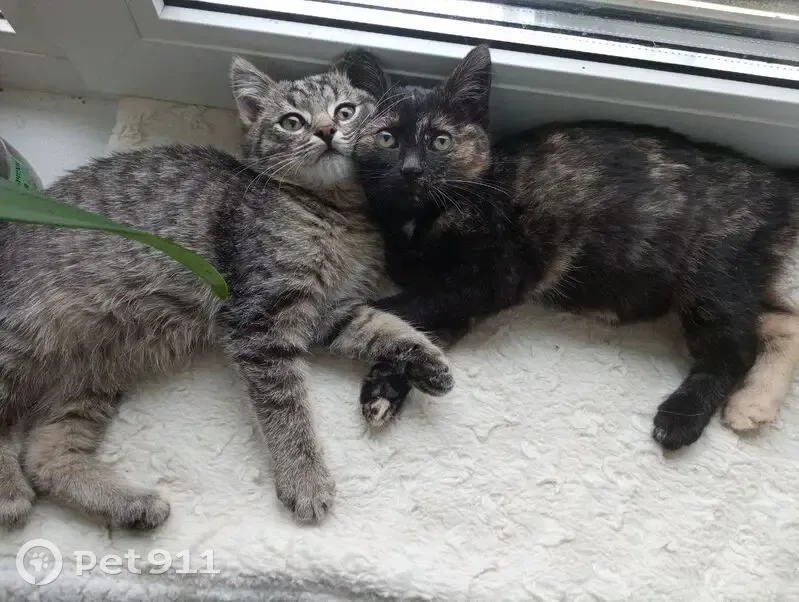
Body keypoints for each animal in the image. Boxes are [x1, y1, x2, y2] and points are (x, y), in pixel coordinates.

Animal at [0, 56, 454, 529]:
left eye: (345, 111)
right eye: (292, 121)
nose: (327, 130)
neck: (335, 212)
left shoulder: (329, 310)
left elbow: (381, 325)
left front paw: (428, 361)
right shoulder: (261, 319)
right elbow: (285, 407)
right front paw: (304, 478)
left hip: (93, 374)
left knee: (47, 456)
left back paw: (131, 504)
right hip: (23, 339)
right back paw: (10, 491)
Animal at [336, 45, 799, 449]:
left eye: (440, 141)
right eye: (386, 139)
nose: (411, 170)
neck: (421, 218)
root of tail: (778, 181)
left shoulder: (494, 278)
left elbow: (405, 307)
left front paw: (359, 326)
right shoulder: (465, 297)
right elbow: (421, 329)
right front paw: (384, 388)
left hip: (711, 274)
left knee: (736, 350)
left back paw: (683, 416)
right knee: (781, 323)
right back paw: (752, 406)